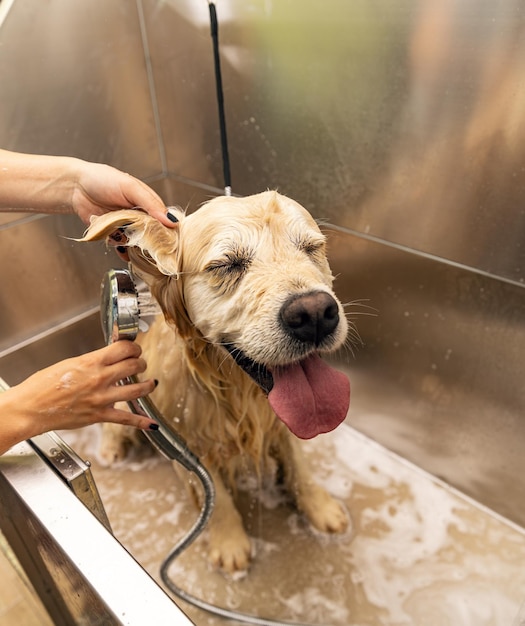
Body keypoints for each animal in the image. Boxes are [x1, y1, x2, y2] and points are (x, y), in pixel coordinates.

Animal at [83, 190, 352, 572]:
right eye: (227, 265)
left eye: (311, 248)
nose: (314, 314)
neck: (237, 393)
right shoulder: (187, 444)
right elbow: (219, 498)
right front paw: (229, 542)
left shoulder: (281, 425)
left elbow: (299, 467)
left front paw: (320, 507)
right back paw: (109, 451)